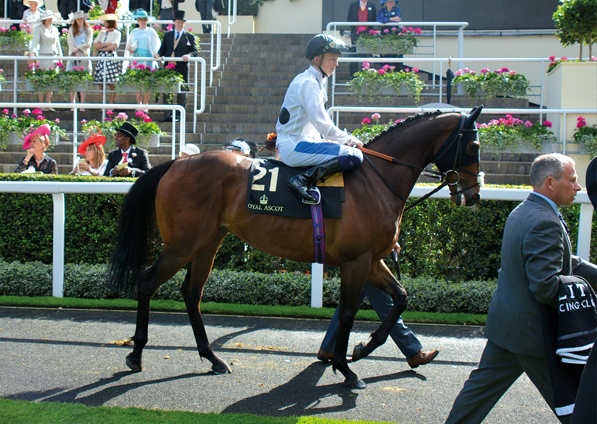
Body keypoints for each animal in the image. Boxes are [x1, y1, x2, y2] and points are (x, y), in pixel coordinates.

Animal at [105, 105, 482, 388]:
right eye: (474, 147)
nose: (474, 194)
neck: (376, 181)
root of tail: (175, 163)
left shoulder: (372, 259)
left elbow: (401, 297)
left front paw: (365, 348)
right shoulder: (356, 261)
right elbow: (348, 312)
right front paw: (346, 368)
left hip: (208, 241)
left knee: (191, 292)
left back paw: (213, 358)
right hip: (183, 243)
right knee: (147, 282)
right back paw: (136, 353)